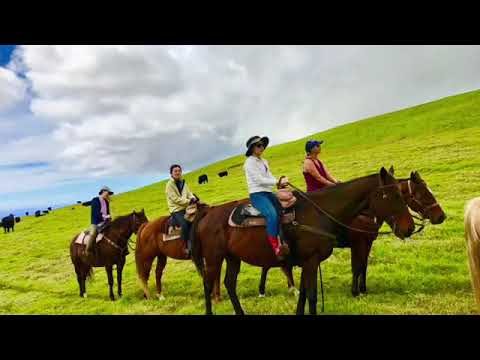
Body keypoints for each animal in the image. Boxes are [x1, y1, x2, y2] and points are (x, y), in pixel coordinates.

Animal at [189, 167, 414, 314]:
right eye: (393, 194)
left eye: (403, 192)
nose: (410, 228)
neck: (321, 213)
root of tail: (209, 213)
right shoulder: (312, 261)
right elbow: (312, 296)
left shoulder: (307, 263)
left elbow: (304, 294)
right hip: (214, 258)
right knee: (208, 284)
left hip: (233, 258)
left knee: (229, 283)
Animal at [256, 167, 448, 296]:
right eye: (422, 194)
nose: (441, 216)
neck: (365, 214)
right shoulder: (357, 243)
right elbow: (356, 266)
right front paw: (355, 291)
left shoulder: (367, 243)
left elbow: (363, 265)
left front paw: (363, 289)